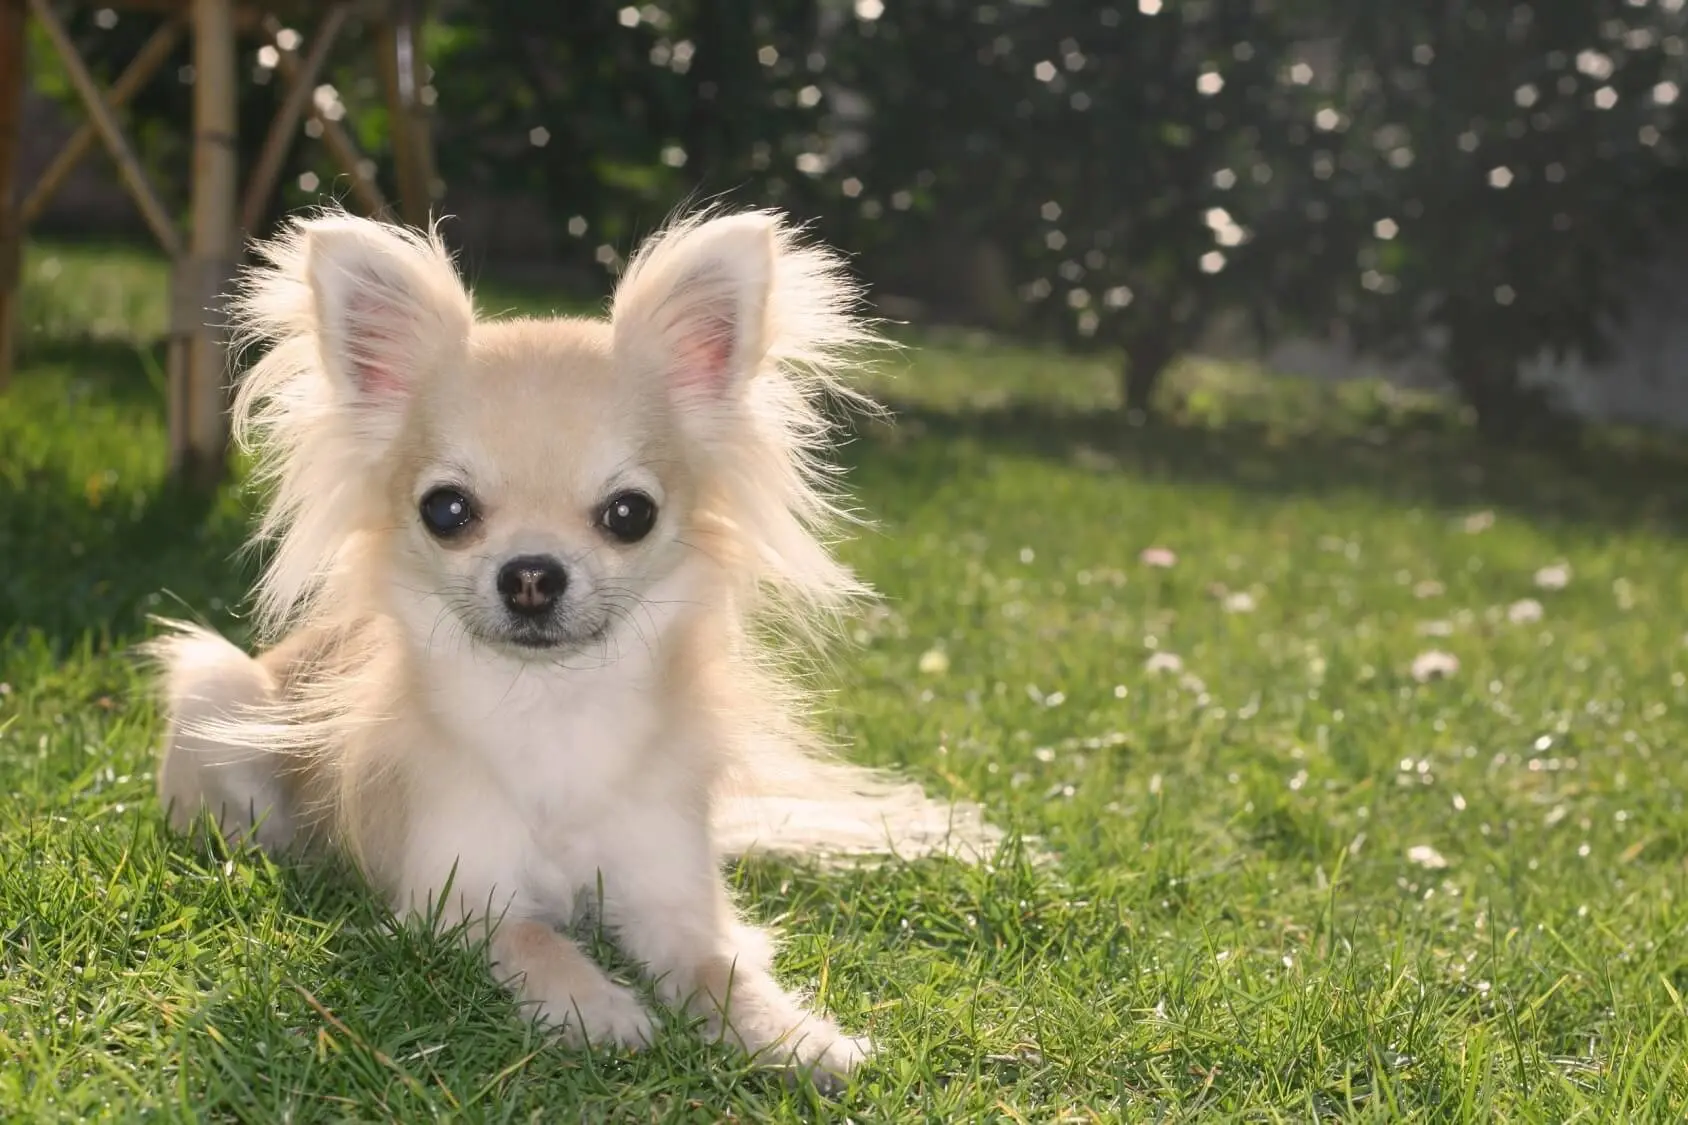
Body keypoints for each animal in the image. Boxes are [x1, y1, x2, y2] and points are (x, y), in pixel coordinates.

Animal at [148, 207, 999, 1081]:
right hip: (217, 687)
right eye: (446, 509)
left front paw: (797, 1035)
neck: (553, 705)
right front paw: (598, 1005)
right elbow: (532, 937)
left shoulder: (672, 899)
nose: (531, 574)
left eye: (630, 513)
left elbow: (718, 967)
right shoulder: (456, 901)